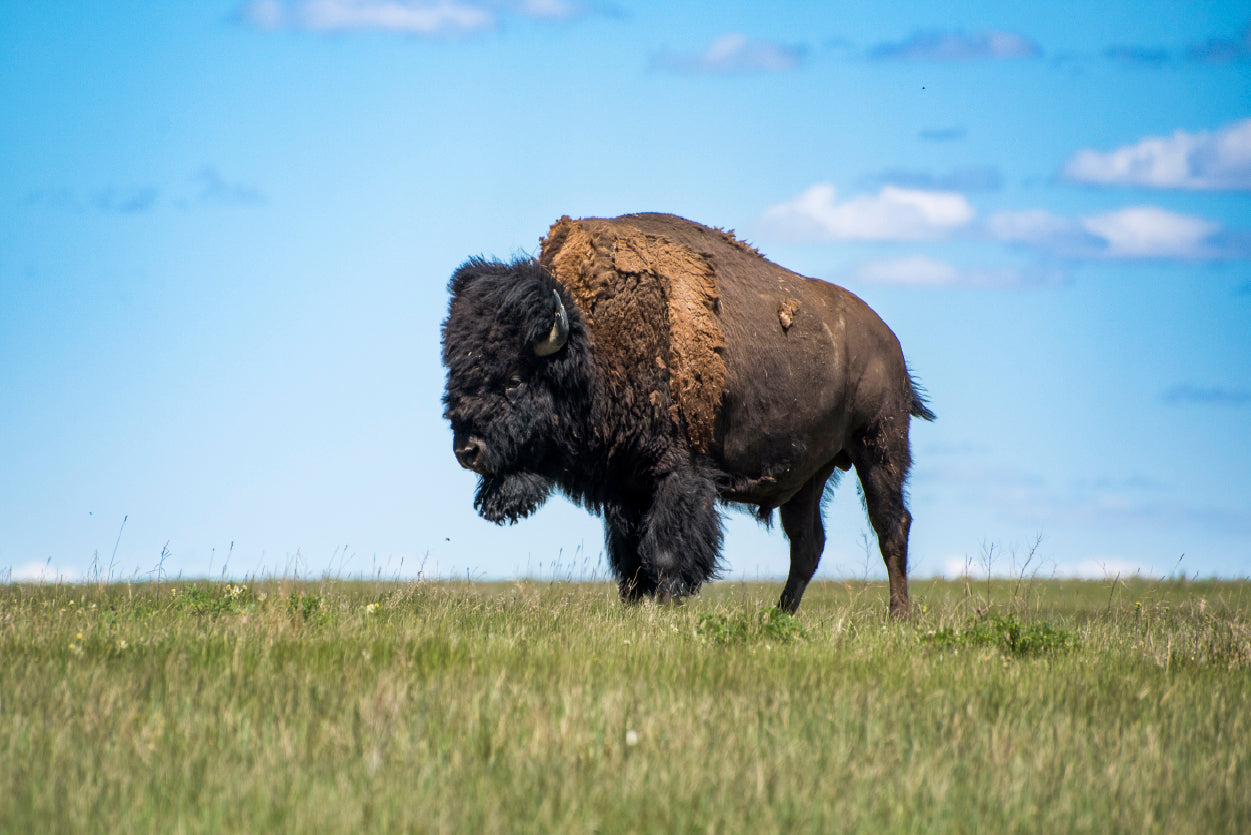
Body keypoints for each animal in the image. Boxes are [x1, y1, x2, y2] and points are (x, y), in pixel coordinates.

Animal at [445, 210, 935, 613]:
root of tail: (888, 341)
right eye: (454, 372)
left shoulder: (679, 473)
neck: (595, 346)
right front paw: (634, 609)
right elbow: (630, 559)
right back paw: (779, 616)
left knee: (891, 526)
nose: (467, 451)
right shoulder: (626, 486)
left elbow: (665, 551)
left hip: (879, 445)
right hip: (810, 473)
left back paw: (898, 617)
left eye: (514, 379)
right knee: (807, 543)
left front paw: (666, 606)